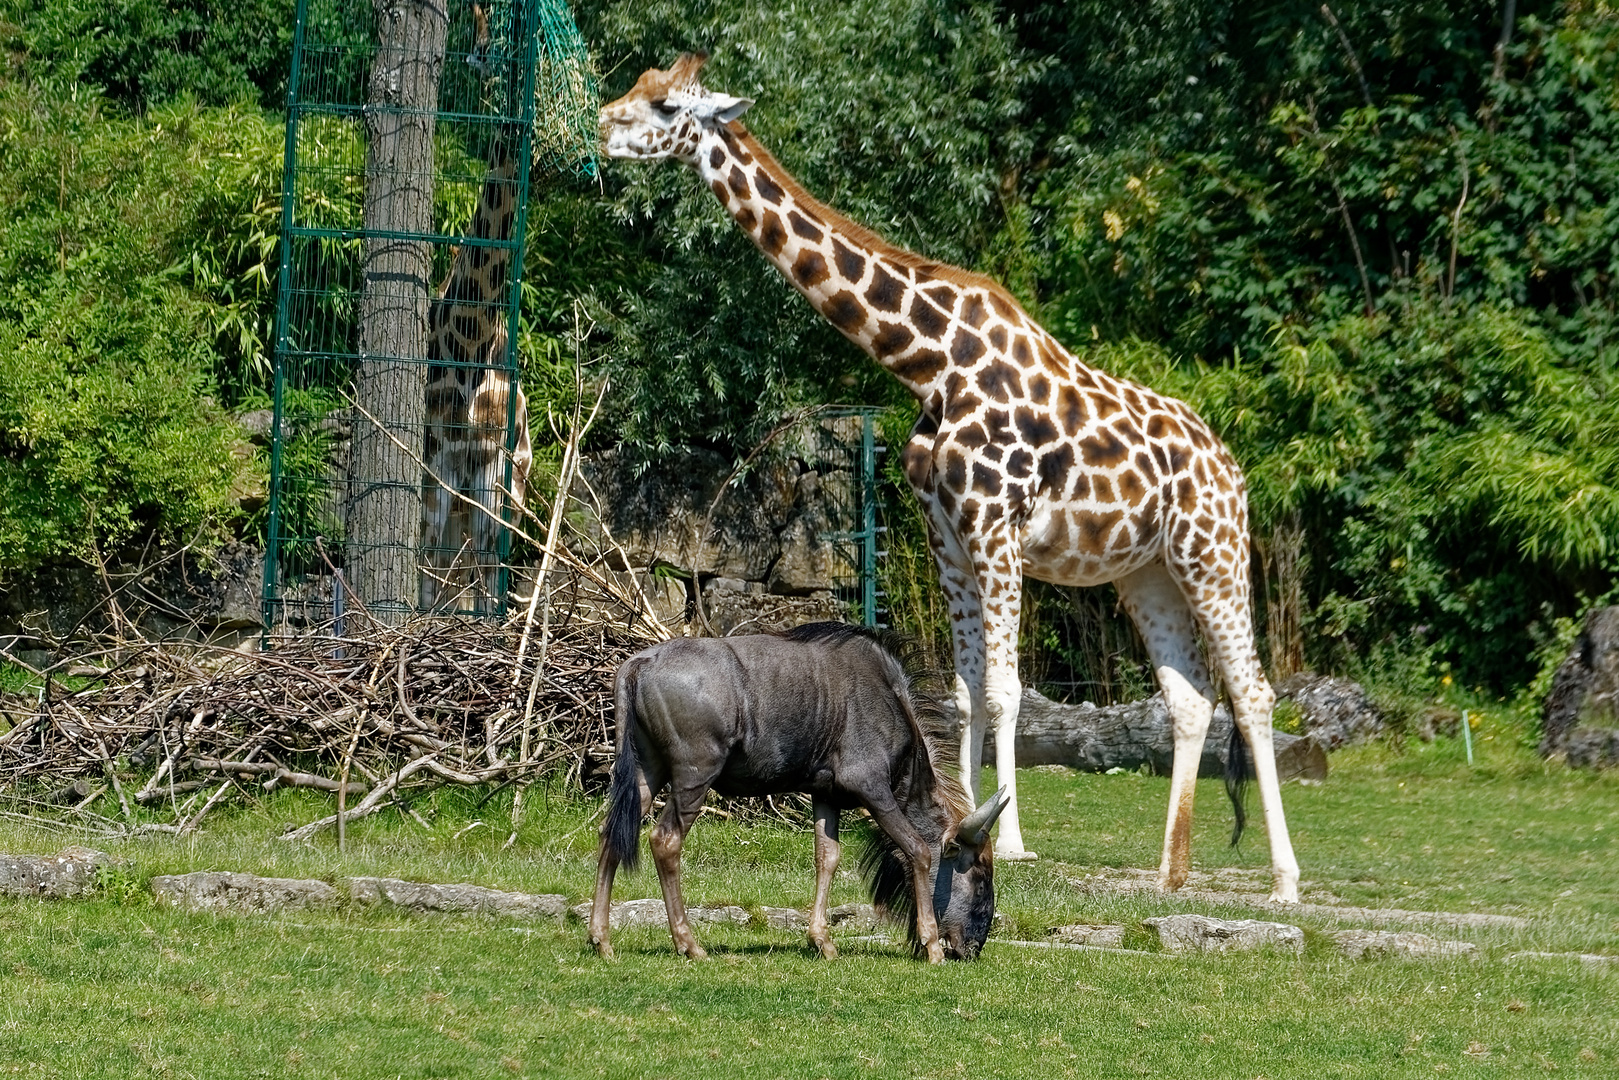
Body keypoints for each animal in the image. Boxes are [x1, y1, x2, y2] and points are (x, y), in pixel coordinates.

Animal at [599, 52, 1301, 906]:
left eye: (665, 105)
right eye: (637, 86)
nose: (601, 126)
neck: (927, 360)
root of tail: (1230, 466)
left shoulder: (995, 524)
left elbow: (1003, 689)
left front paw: (1013, 838)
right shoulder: (947, 534)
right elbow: (965, 690)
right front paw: (964, 813)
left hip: (1213, 552)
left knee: (1253, 691)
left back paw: (1284, 878)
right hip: (1145, 572)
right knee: (1191, 697)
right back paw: (1169, 870)